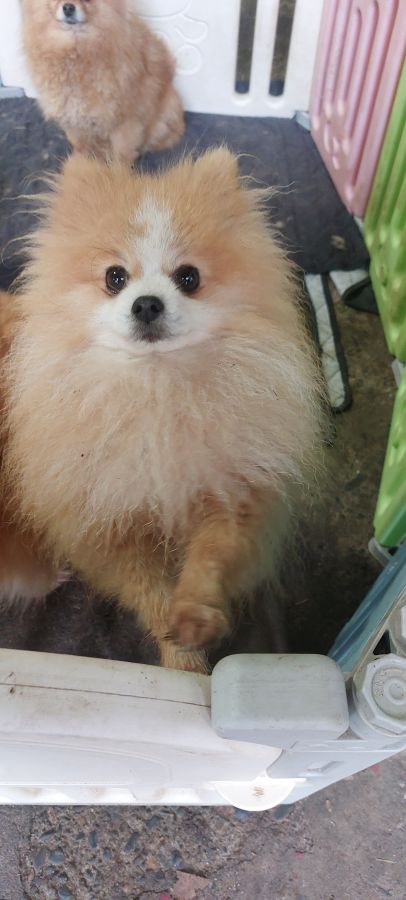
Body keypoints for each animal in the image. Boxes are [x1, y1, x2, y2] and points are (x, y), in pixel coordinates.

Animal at [1, 150, 325, 671]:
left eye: (188, 278)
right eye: (114, 278)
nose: (147, 304)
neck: (157, 392)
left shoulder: (231, 489)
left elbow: (211, 555)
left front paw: (194, 619)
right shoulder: (110, 529)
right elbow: (148, 594)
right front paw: (182, 663)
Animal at [21, 0, 184, 162]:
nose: (68, 7)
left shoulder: (125, 121)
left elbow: (122, 155)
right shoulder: (73, 117)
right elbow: (81, 147)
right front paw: (81, 164)